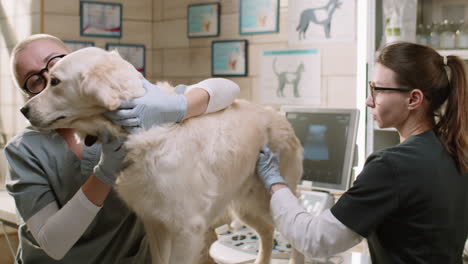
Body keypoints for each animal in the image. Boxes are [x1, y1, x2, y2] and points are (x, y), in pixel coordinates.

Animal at [21, 47, 304, 264]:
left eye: (54, 81)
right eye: (41, 81)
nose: (24, 110)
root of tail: (279, 116)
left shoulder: (188, 229)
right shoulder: (155, 223)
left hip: (269, 198)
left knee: (295, 234)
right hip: (245, 206)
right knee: (267, 233)